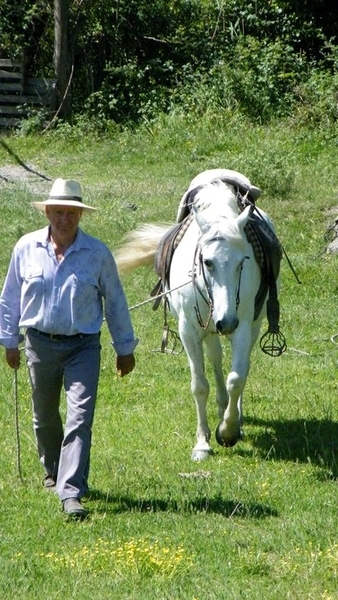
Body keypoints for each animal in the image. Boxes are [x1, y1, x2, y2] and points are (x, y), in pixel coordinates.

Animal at [116, 171, 280, 462]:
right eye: (207, 261)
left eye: (243, 261)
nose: (227, 321)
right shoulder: (189, 331)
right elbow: (199, 385)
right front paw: (202, 443)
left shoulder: (242, 327)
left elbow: (237, 378)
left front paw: (228, 431)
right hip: (209, 330)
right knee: (215, 358)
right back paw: (222, 405)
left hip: (251, 324)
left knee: (240, 366)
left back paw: (233, 415)